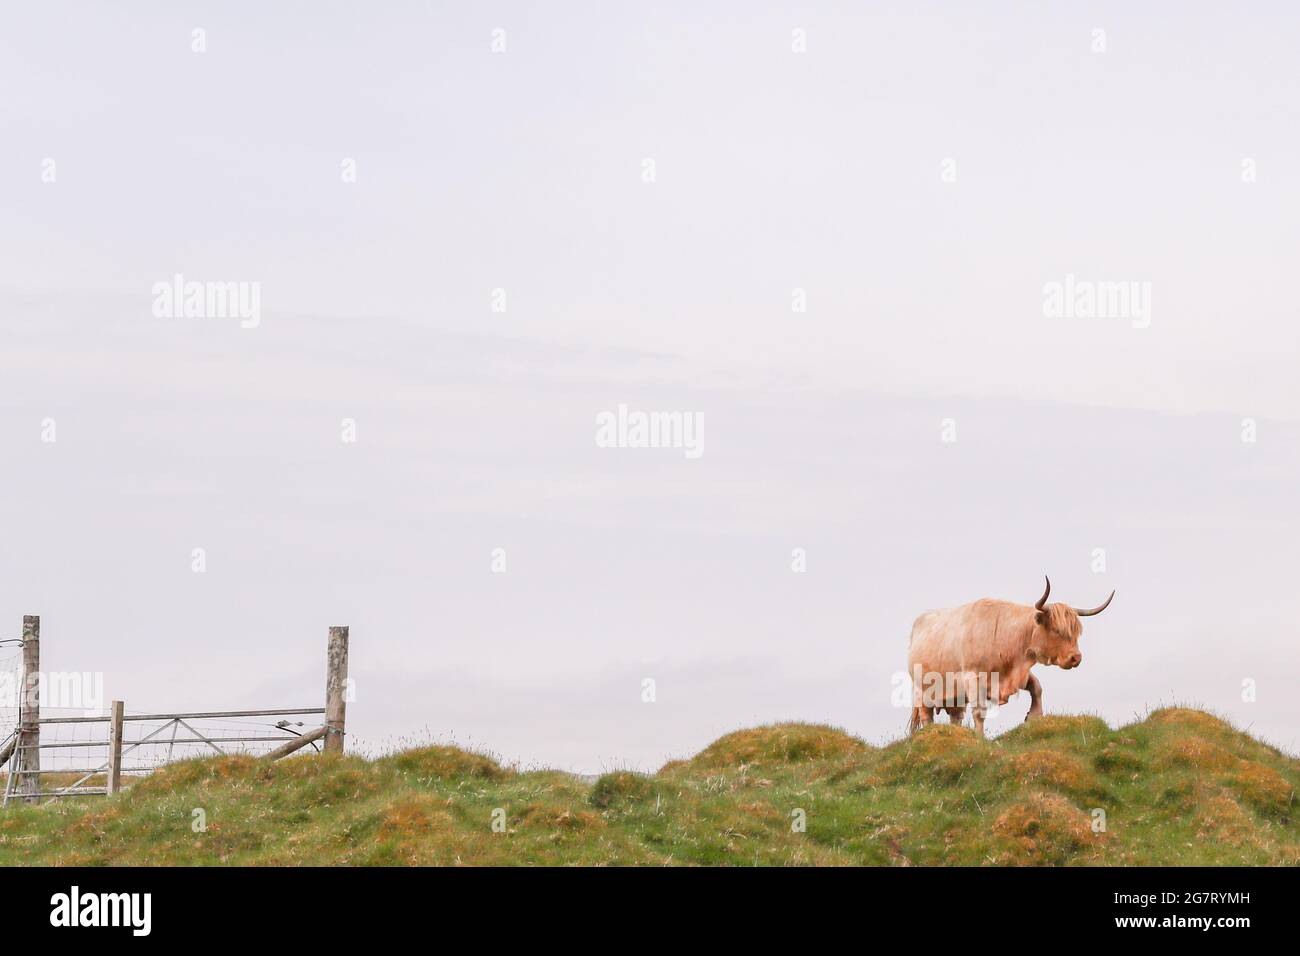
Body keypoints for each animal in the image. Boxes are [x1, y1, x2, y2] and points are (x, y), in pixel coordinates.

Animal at [909, 574, 1112, 738]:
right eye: (1056, 630)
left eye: (1077, 632)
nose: (1076, 658)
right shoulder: (972, 677)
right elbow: (979, 712)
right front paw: (980, 739)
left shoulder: (1018, 672)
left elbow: (1037, 688)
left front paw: (1033, 716)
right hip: (922, 692)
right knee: (927, 717)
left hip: (954, 698)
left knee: (955, 717)